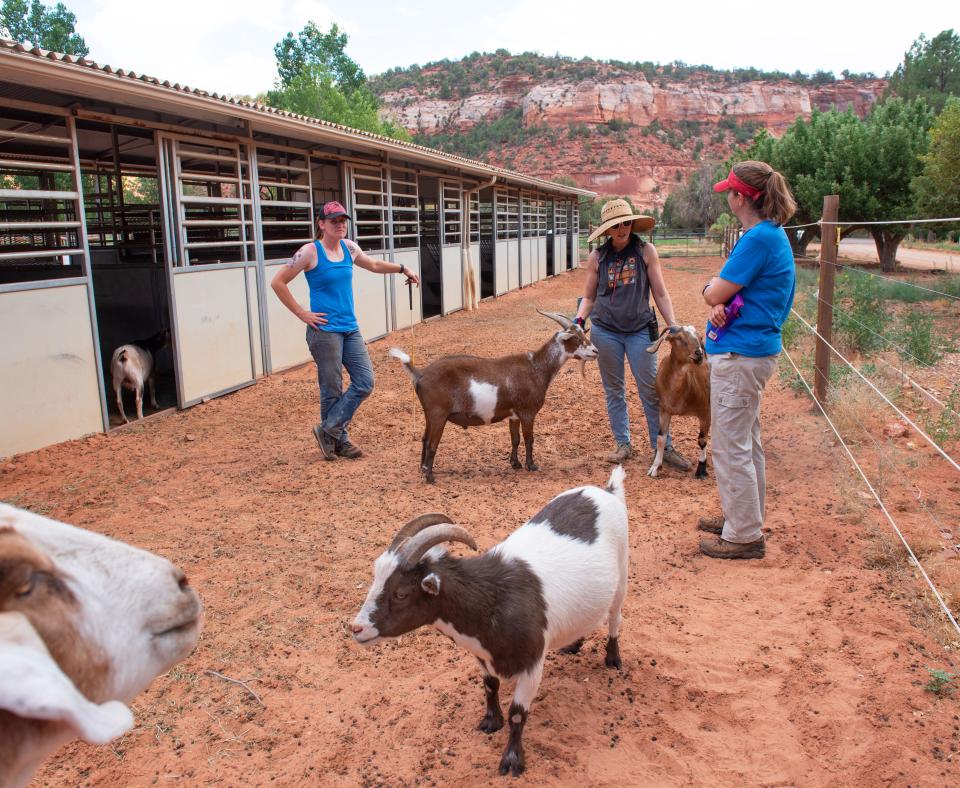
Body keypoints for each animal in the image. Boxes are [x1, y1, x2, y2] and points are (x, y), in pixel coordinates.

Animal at [352, 468, 632, 776]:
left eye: (401, 593)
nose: (356, 628)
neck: (494, 600)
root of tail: (607, 490)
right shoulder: (482, 655)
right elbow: (489, 686)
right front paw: (490, 722)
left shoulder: (532, 665)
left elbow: (518, 715)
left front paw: (512, 761)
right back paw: (573, 644)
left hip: (622, 573)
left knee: (614, 617)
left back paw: (613, 659)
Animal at [388, 310, 596, 484]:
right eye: (576, 338)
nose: (595, 351)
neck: (536, 368)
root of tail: (420, 374)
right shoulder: (528, 412)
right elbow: (529, 439)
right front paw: (532, 465)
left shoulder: (514, 414)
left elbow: (515, 438)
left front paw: (515, 464)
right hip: (438, 413)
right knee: (432, 443)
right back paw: (430, 477)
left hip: (429, 414)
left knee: (424, 439)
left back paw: (423, 469)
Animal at [644, 324, 712, 478]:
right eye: (679, 337)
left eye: (700, 337)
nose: (699, 354)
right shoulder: (664, 409)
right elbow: (660, 438)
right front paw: (655, 467)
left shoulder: (705, 411)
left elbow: (702, 440)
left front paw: (701, 469)